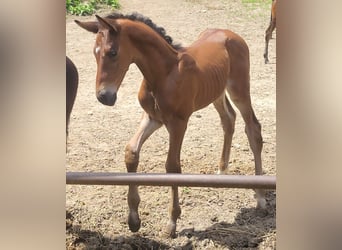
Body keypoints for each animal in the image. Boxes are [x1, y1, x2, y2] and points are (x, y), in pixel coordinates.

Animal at [76, 12, 266, 238]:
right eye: (94, 53)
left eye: (112, 52)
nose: (104, 97)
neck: (164, 74)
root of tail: (231, 34)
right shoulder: (153, 117)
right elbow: (131, 152)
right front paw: (134, 219)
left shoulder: (178, 123)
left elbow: (172, 165)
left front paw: (172, 222)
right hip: (216, 91)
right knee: (228, 119)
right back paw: (221, 172)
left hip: (239, 89)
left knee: (253, 128)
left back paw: (260, 196)